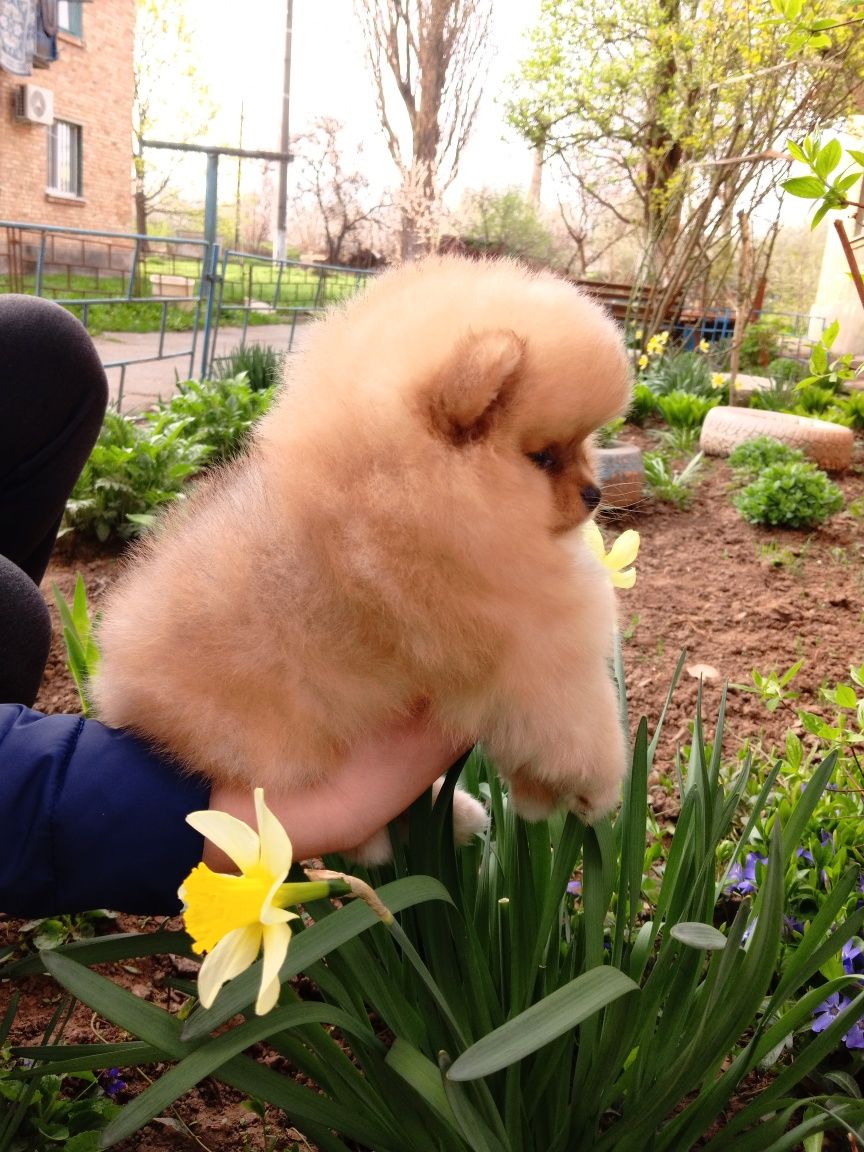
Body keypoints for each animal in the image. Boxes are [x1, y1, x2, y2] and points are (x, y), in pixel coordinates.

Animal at [91, 256, 635, 861]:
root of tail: (120, 690)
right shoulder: (526, 647)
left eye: (584, 444)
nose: (593, 494)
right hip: (276, 741)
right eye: (543, 458)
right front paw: (596, 790)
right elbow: (574, 724)